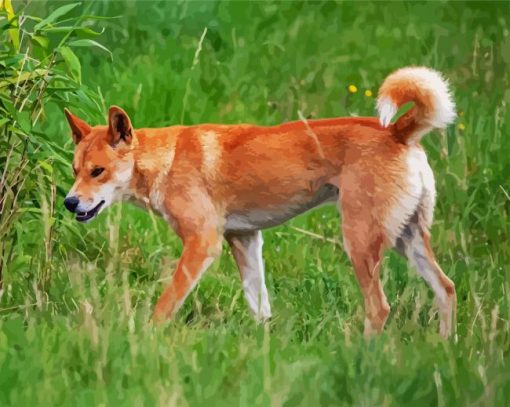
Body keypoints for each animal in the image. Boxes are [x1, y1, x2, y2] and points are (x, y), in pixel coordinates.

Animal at [63, 66, 458, 338]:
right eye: (75, 170)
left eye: (98, 171)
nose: (69, 202)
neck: (167, 159)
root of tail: (397, 132)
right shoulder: (245, 240)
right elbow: (259, 307)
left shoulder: (202, 243)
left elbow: (166, 303)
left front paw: (148, 337)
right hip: (408, 238)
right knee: (446, 288)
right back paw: (443, 349)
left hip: (360, 241)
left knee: (379, 308)